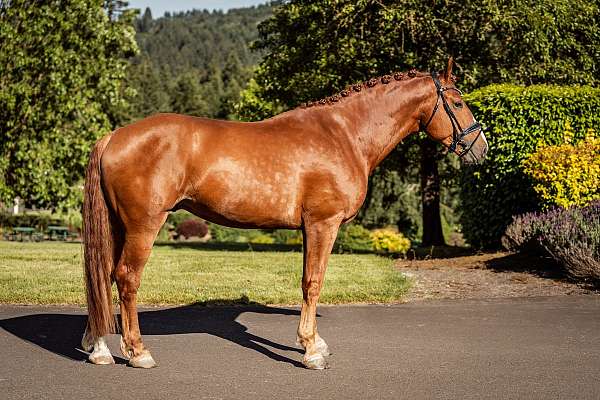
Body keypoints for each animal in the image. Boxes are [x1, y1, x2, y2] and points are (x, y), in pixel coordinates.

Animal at [81, 58, 488, 368]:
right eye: (457, 101)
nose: (480, 147)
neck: (343, 135)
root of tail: (114, 137)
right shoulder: (324, 224)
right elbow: (314, 282)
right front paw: (311, 351)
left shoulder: (310, 228)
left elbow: (309, 281)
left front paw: (315, 343)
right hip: (144, 225)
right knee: (126, 278)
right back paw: (137, 352)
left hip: (118, 226)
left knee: (103, 276)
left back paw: (100, 349)